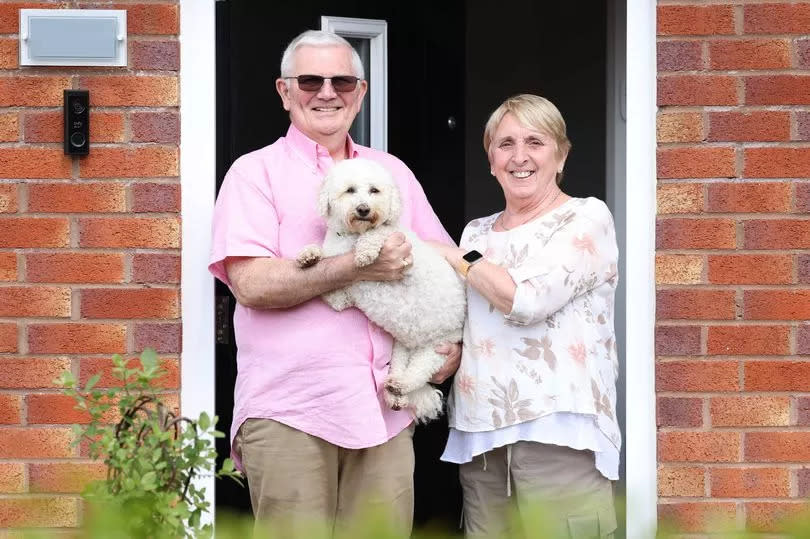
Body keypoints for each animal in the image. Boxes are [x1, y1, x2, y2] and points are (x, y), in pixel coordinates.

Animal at [296, 158, 464, 424]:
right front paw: (309, 255)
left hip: (438, 346)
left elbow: (380, 232)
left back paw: (401, 386)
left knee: (421, 370)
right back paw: (395, 394)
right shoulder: (341, 297)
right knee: (404, 368)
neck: (352, 237)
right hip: (401, 349)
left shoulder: (404, 253)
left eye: (374, 190)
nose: (364, 209)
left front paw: (365, 252)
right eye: (350, 190)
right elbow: (326, 274)